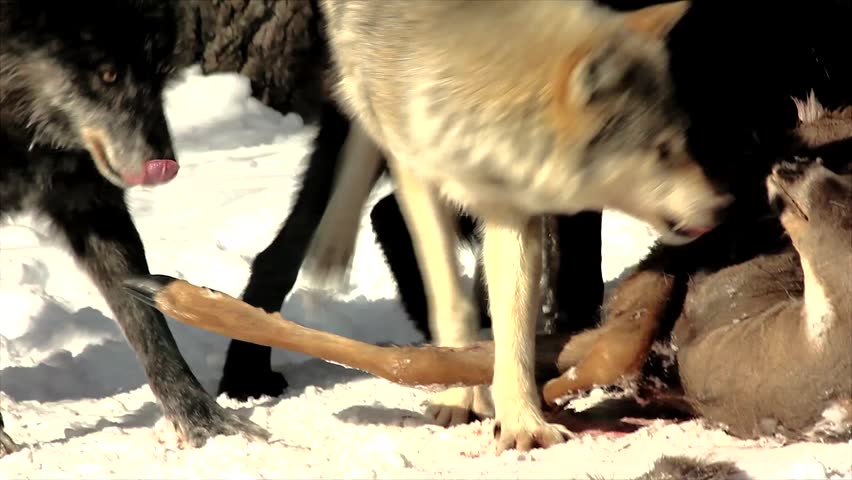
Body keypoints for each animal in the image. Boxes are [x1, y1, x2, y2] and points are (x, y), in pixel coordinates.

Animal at [0, 0, 265, 455]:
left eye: (159, 72)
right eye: (108, 73)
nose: (166, 165)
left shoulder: (93, 205)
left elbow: (148, 322)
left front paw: (201, 419)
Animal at [306, 0, 731, 451]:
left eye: (683, 141)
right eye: (663, 151)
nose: (724, 207)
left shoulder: (514, 208)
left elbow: (513, 326)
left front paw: (521, 423)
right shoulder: (419, 172)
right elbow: (454, 303)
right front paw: (457, 398)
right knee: (354, 122)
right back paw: (331, 246)